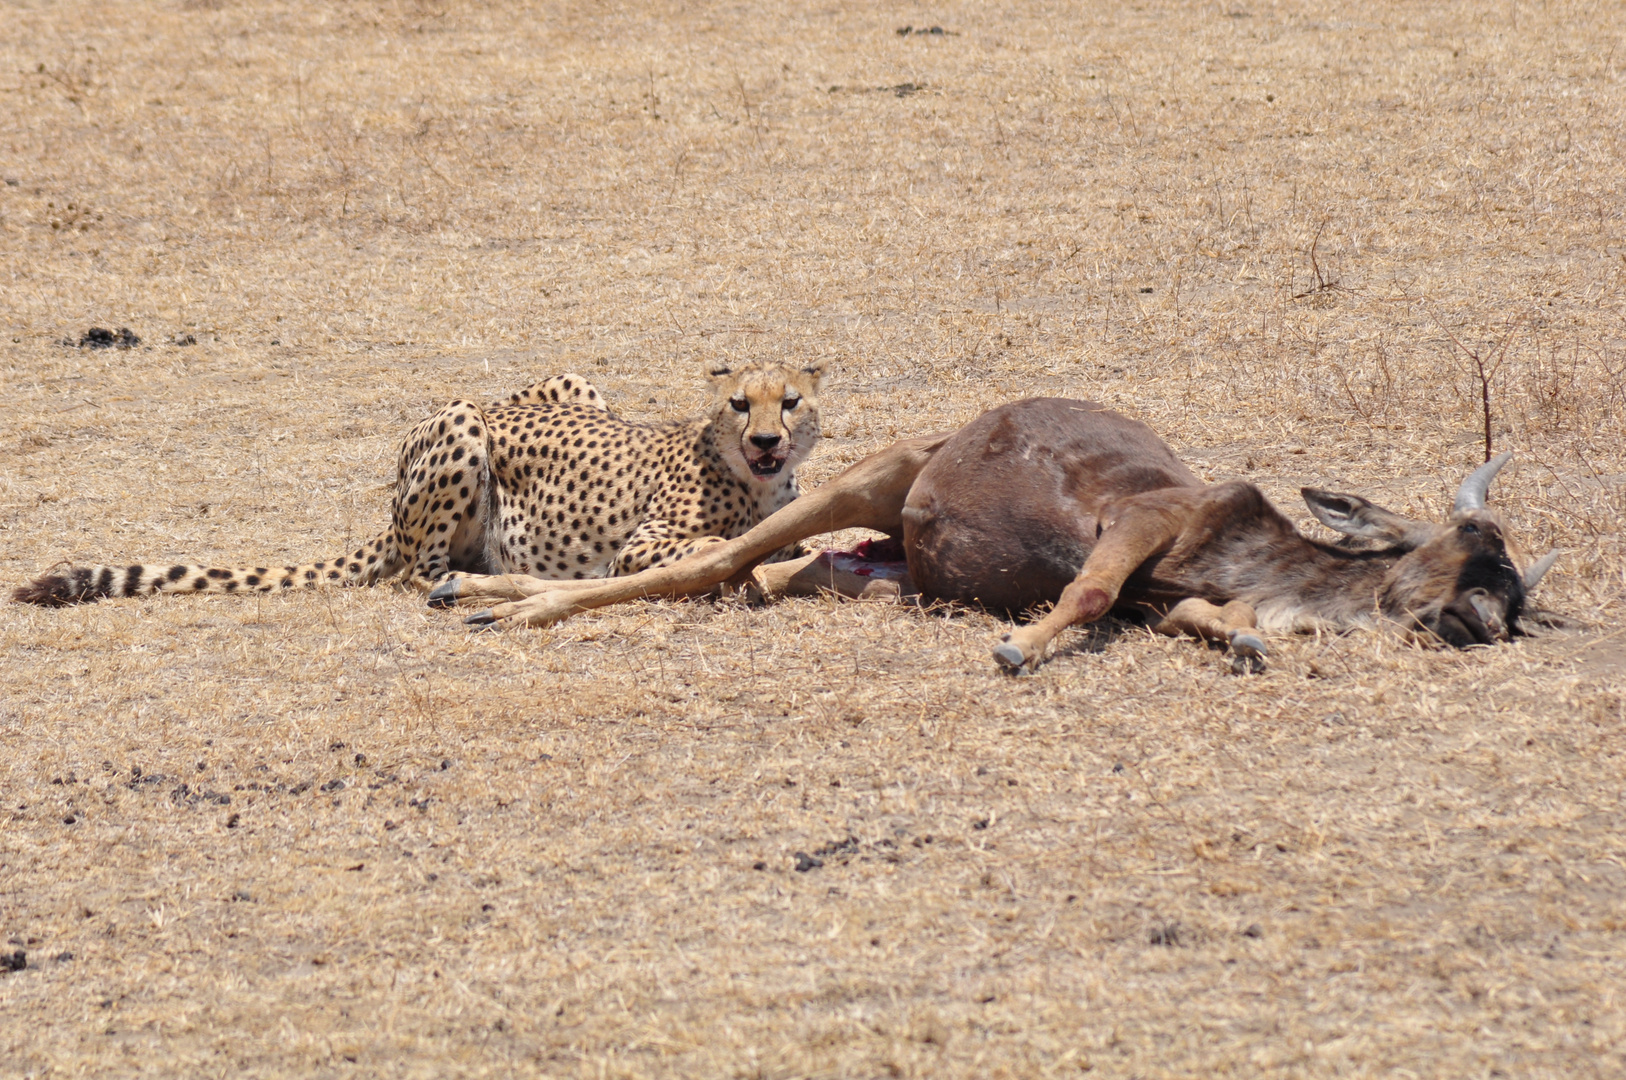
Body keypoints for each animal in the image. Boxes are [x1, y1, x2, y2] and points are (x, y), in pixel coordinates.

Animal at [9, 357, 826, 601]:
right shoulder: (639, 544)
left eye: (789, 402)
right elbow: (707, 546)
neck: (751, 477)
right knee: (412, 574)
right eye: (739, 403)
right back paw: (469, 582)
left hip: (574, 381)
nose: (765, 440)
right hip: (462, 425)